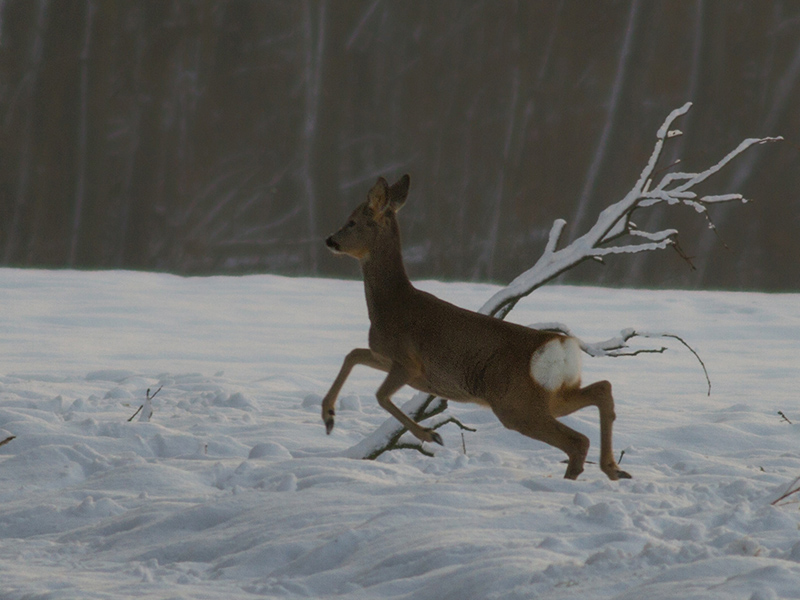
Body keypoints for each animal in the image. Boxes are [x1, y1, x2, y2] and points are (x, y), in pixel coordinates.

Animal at [320, 173, 632, 478]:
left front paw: (430, 435)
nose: (330, 240)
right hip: (549, 396)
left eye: (352, 221)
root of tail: (560, 346)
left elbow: (381, 396)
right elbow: (353, 355)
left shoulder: (409, 363)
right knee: (602, 390)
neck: (390, 304)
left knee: (578, 441)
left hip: (515, 404)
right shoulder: (386, 356)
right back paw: (613, 468)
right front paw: (328, 417)